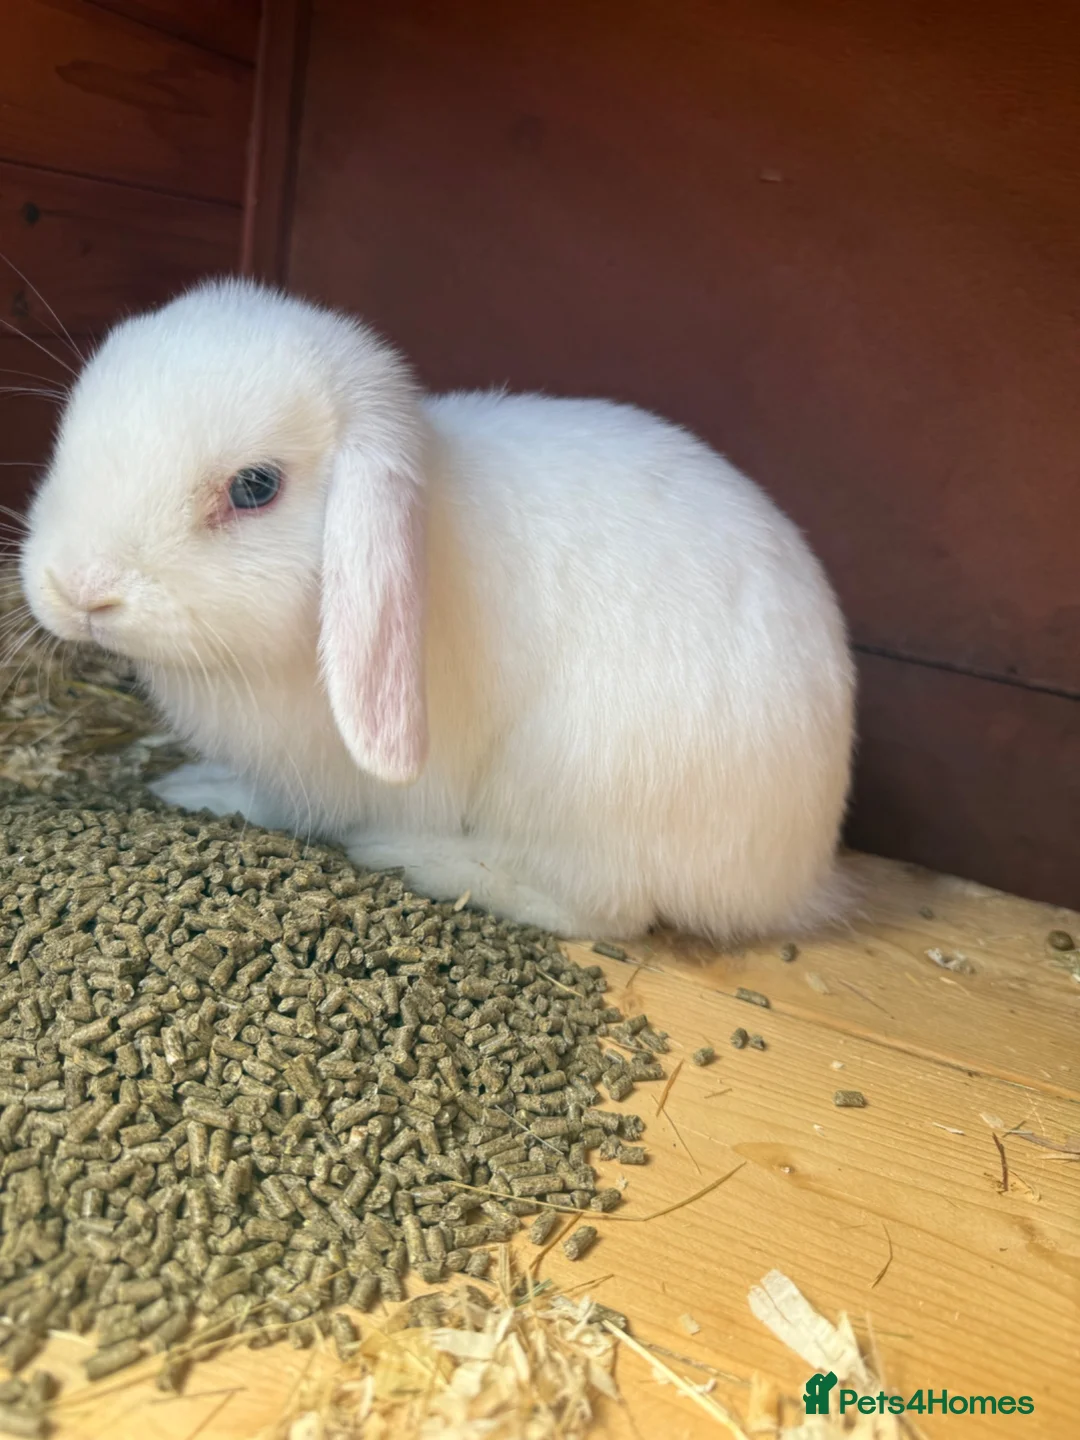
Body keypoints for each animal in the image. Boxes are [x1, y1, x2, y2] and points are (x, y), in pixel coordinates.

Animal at [19, 278, 855, 941]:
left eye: (255, 488)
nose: (80, 588)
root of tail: (794, 874)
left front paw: (201, 792)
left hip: (584, 793)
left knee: (605, 910)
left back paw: (419, 859)